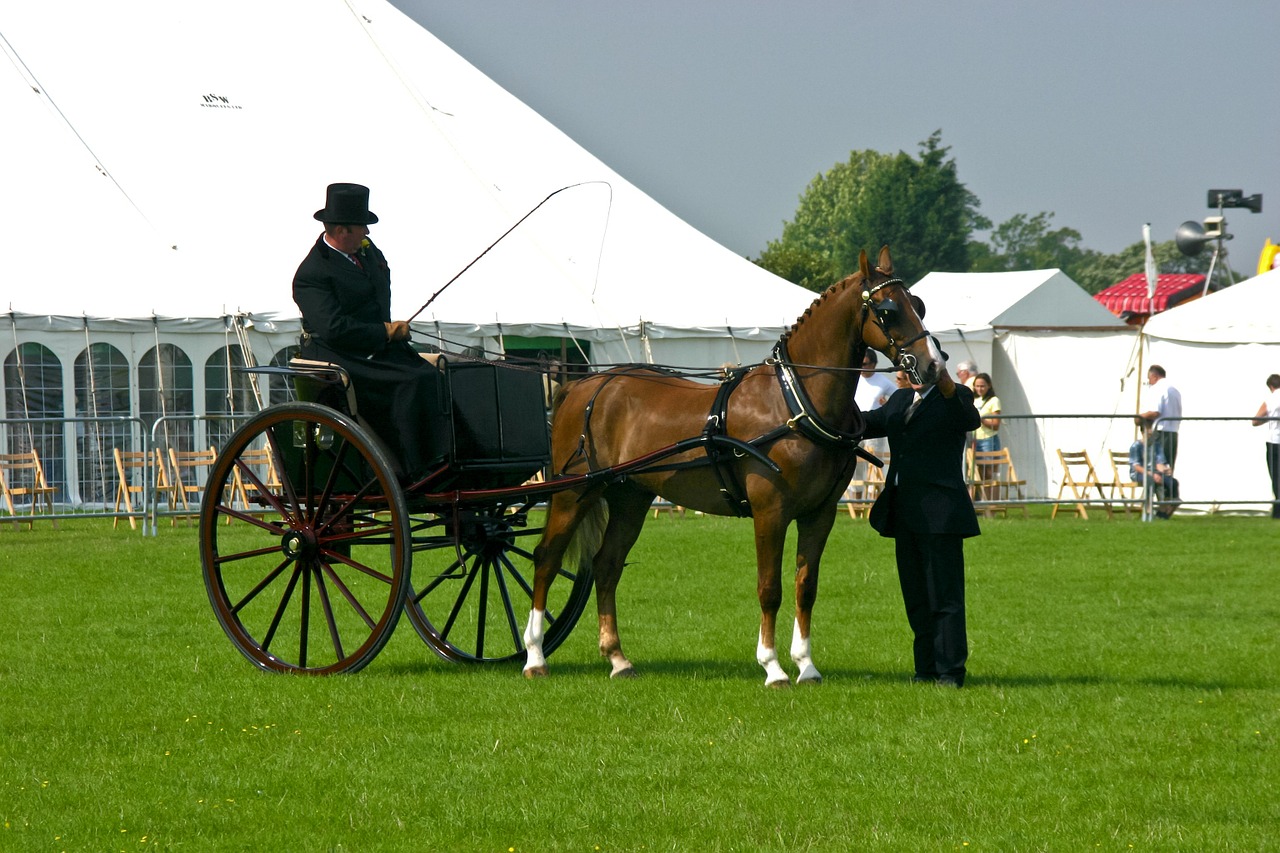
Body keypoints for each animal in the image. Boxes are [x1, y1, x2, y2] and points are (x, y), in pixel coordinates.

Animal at [517, 244, 942, 686]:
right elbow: (769, 588)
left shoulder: (820, 513)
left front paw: (806, 665)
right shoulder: (770, 510)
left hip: (629, 498)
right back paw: (535, 656)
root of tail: (583, 385)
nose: (933, 365)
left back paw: (617, 658)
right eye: (888, 310)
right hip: (574, 492)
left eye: (919, 305)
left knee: (606, 565)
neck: (793, 401)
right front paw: (773, 666)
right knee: (546, 560)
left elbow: (806, 586)